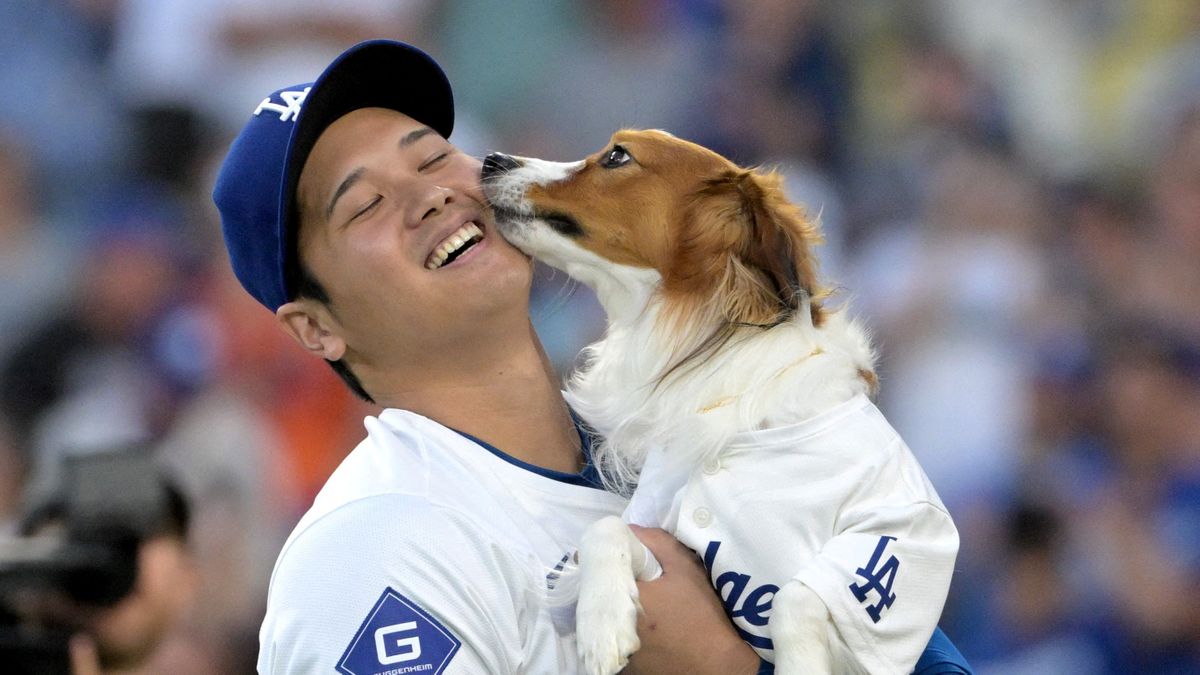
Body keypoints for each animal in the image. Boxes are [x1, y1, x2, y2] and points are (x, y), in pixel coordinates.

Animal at [477, 131, 955, 672]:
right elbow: (604, 529)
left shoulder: (906, 536)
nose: (492, 160)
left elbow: (797, 595)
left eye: (618, 155)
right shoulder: (670, 543)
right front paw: (603, 622)